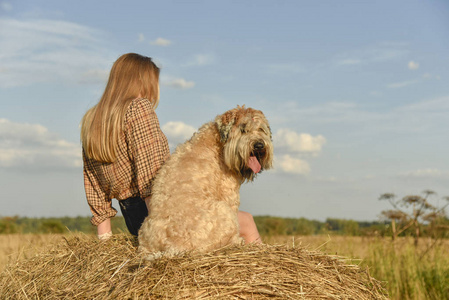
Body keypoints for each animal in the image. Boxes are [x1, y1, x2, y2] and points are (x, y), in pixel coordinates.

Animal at [138, 105, 272, 258]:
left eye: (261, 129)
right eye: (243, 129)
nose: (259, 145)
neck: (219, 144)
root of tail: (172, 247)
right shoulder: (229, 195)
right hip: (224, 212)